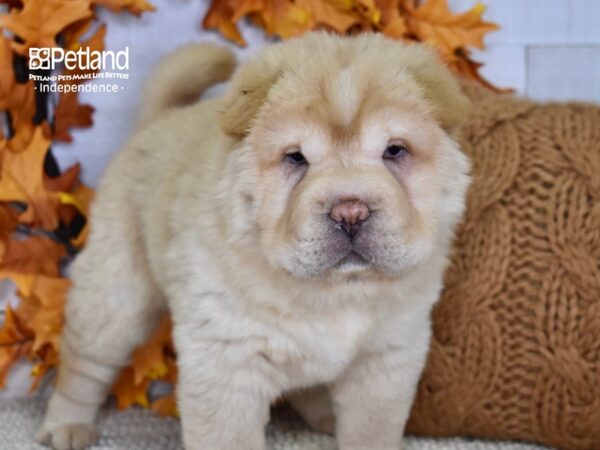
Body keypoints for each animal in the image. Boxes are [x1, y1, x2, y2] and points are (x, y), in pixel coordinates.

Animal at [37, 33, 472, 450]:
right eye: (295, 158)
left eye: (395, 151)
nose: (350, 212)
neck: (333, 293)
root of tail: (158, 120)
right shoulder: (228, 359)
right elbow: (230, 437)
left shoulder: (387, 357)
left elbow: (371, 432)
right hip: (117, 294)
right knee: (83, 364)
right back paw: (66, 426)